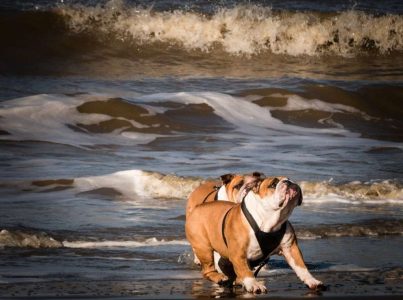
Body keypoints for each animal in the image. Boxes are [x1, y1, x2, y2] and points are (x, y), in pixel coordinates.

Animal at [185, 176, 322, 292]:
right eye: (273, 184)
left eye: (289, 179)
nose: (289, 182)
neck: (270, 220)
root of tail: (197, 208)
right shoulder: (238, 253)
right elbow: (245, 270)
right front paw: (253, 284)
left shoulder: (291, 248)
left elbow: (301, 267)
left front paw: (312, 280)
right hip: (204, 248)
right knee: (207, 270)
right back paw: (220, 277)